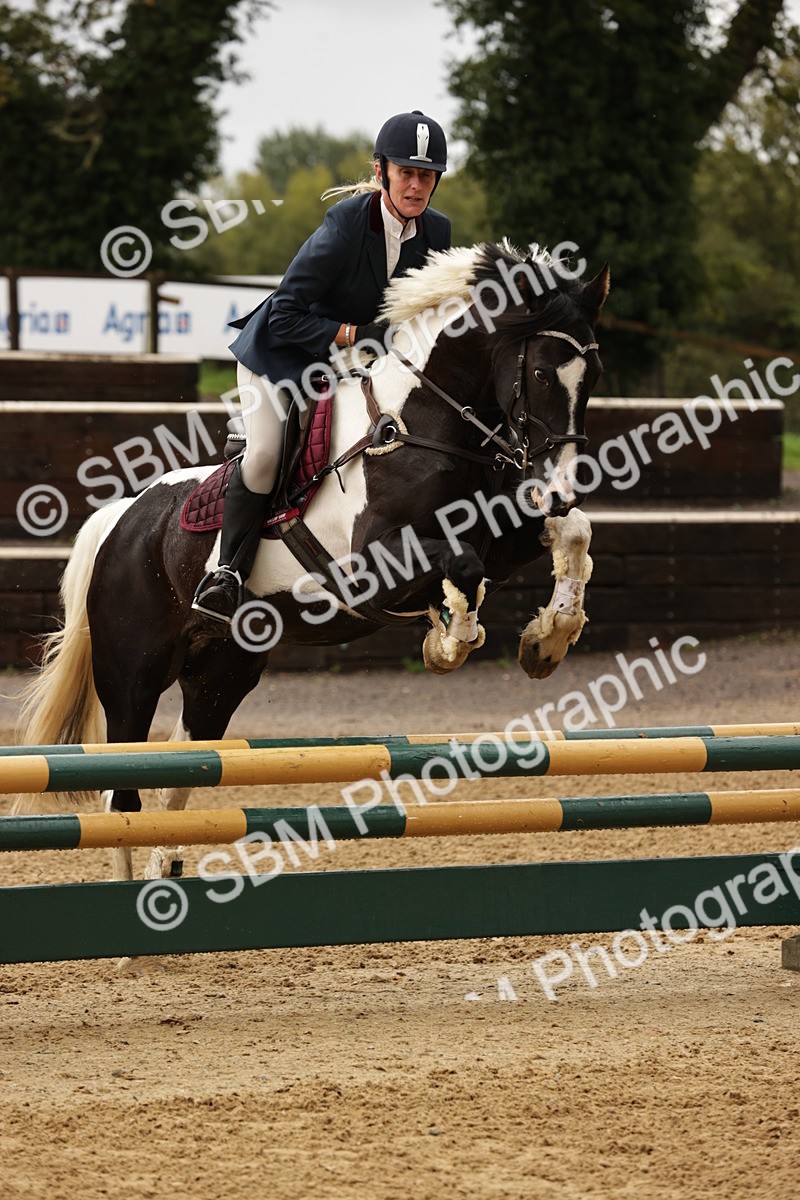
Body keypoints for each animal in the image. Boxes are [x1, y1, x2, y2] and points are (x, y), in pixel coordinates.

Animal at [14, 240, 609, 898]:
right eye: (540, 374)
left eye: (594, 379)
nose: (559, 488)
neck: (423, 426)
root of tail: (122, 517)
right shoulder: (376, 560)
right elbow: (460, 564)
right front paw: (448, 639)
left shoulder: (500, 531)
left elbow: (568, 535)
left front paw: (546, 642)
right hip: (132, 676)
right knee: (121, 791)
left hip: (220, 673)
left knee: (178, 776)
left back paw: (166, 873)